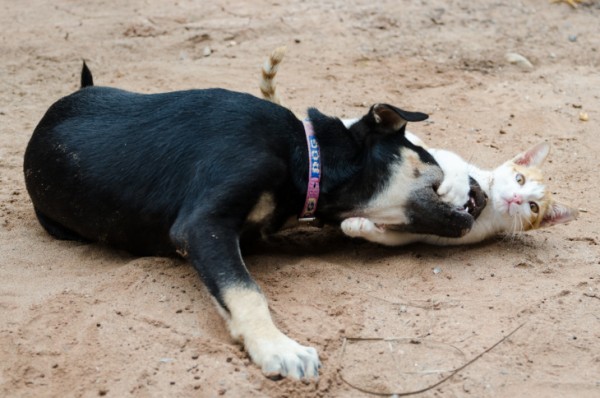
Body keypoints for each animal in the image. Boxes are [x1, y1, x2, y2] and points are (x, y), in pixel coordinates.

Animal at [23, 61, 486, 380]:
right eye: (426, 153)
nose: (481, 193)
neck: (306, 156)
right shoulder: (203, 223)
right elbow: (246, 291)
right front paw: (277, 348)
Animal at [260, 47, 580, 246]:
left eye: (533, 206)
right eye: (519, 178)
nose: (515, 198)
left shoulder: (428, 234)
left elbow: (390, 235)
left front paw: (358, 226)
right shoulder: (442, 157)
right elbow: (451, 165)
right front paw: (452, 184)